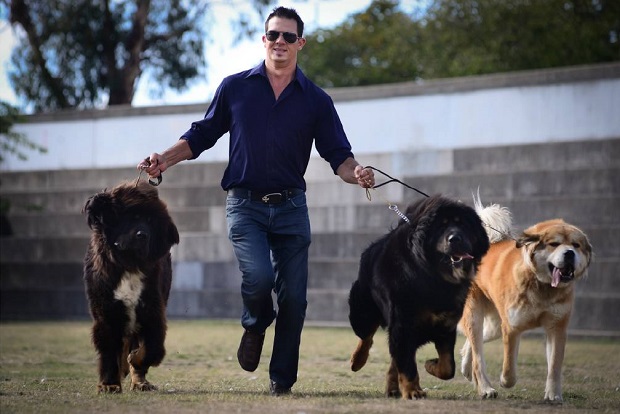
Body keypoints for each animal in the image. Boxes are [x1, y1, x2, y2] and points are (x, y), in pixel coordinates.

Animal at [82, 180, 179, 392]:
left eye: (151, 222)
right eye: (132, 218)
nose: (142, 235)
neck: (129, 264)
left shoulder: (152, 310)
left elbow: (151, 349)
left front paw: (134, 362)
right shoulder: (107, 312)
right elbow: (110, 352)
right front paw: (109, 384)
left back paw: (140, 380)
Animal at [348, 196, 490, 400]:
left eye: (462, 224)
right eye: (441, 226)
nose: (455, 238)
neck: (434, 275)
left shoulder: (446, 325)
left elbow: (448, 367)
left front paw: (430, 365)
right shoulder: (403, 323)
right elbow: (408, 365)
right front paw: (413, 390)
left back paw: (392, 387)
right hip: (363, 310)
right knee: (366, 336)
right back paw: (357, 361)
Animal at [460, 196, 592, 402]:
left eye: (576, 245)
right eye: (554, 244)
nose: (569, 253)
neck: (542, 286)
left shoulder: (557, 328)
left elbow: (554, 366)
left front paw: (553, 395)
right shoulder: (512, 328)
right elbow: (509, 368)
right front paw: (505, 381)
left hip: (494, 326)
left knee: (473, 344)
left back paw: (466, 368)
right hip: (477, 316)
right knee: (478, 355)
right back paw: (486, 388)